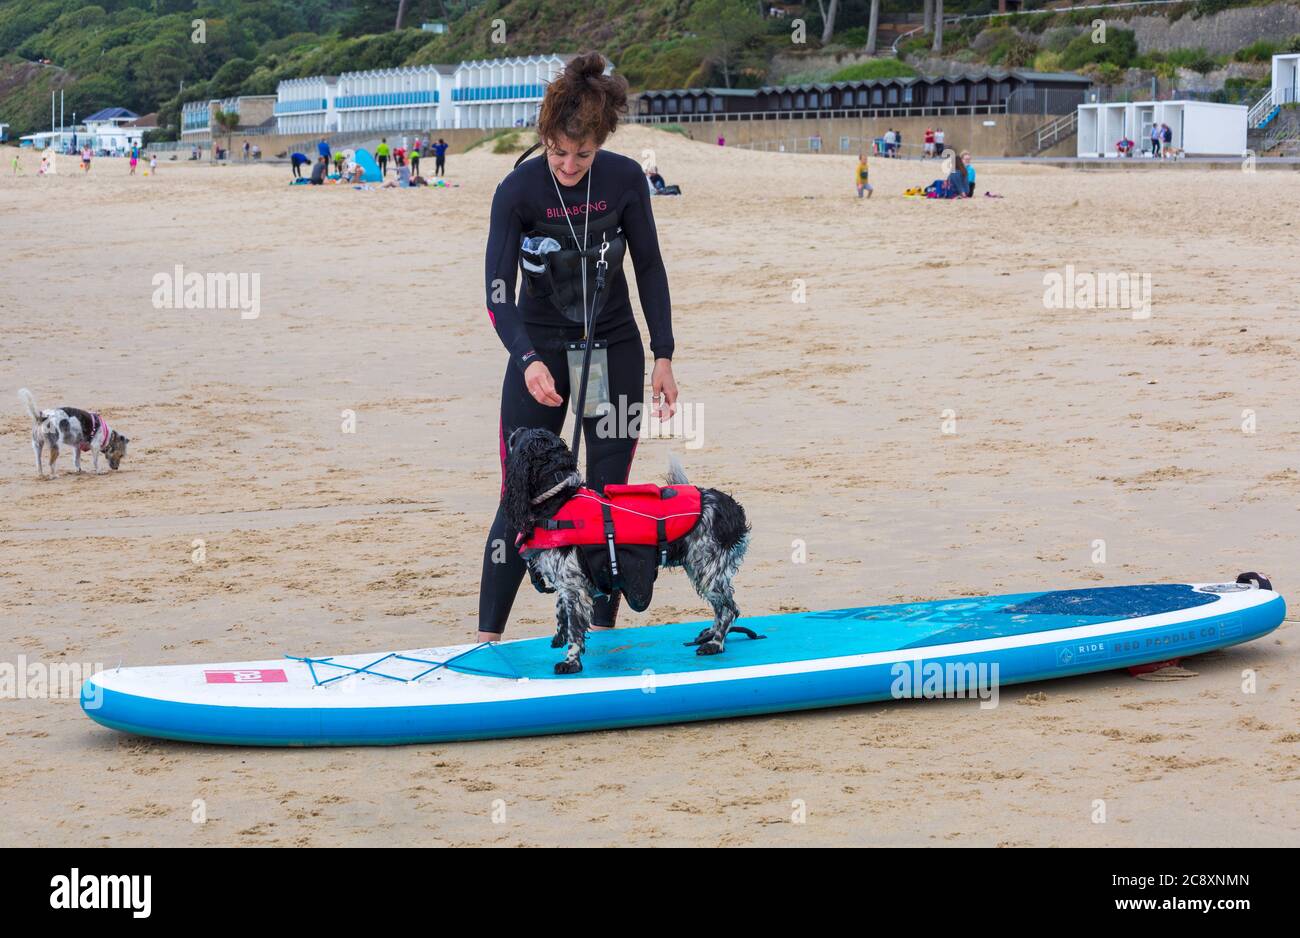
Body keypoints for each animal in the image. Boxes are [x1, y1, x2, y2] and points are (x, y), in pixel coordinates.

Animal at [506, 423, 754, 670]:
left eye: (521, 436)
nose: (516, 428)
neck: (558, 500)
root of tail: (731, 507)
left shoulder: (575, 587)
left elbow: (575, 628)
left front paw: (571, 662)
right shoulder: (567, 583)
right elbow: (560, 611)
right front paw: (559, 637)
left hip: (707, 570)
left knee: (728, 609)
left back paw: (715, 643)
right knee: (723, 606)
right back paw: (710, 634)